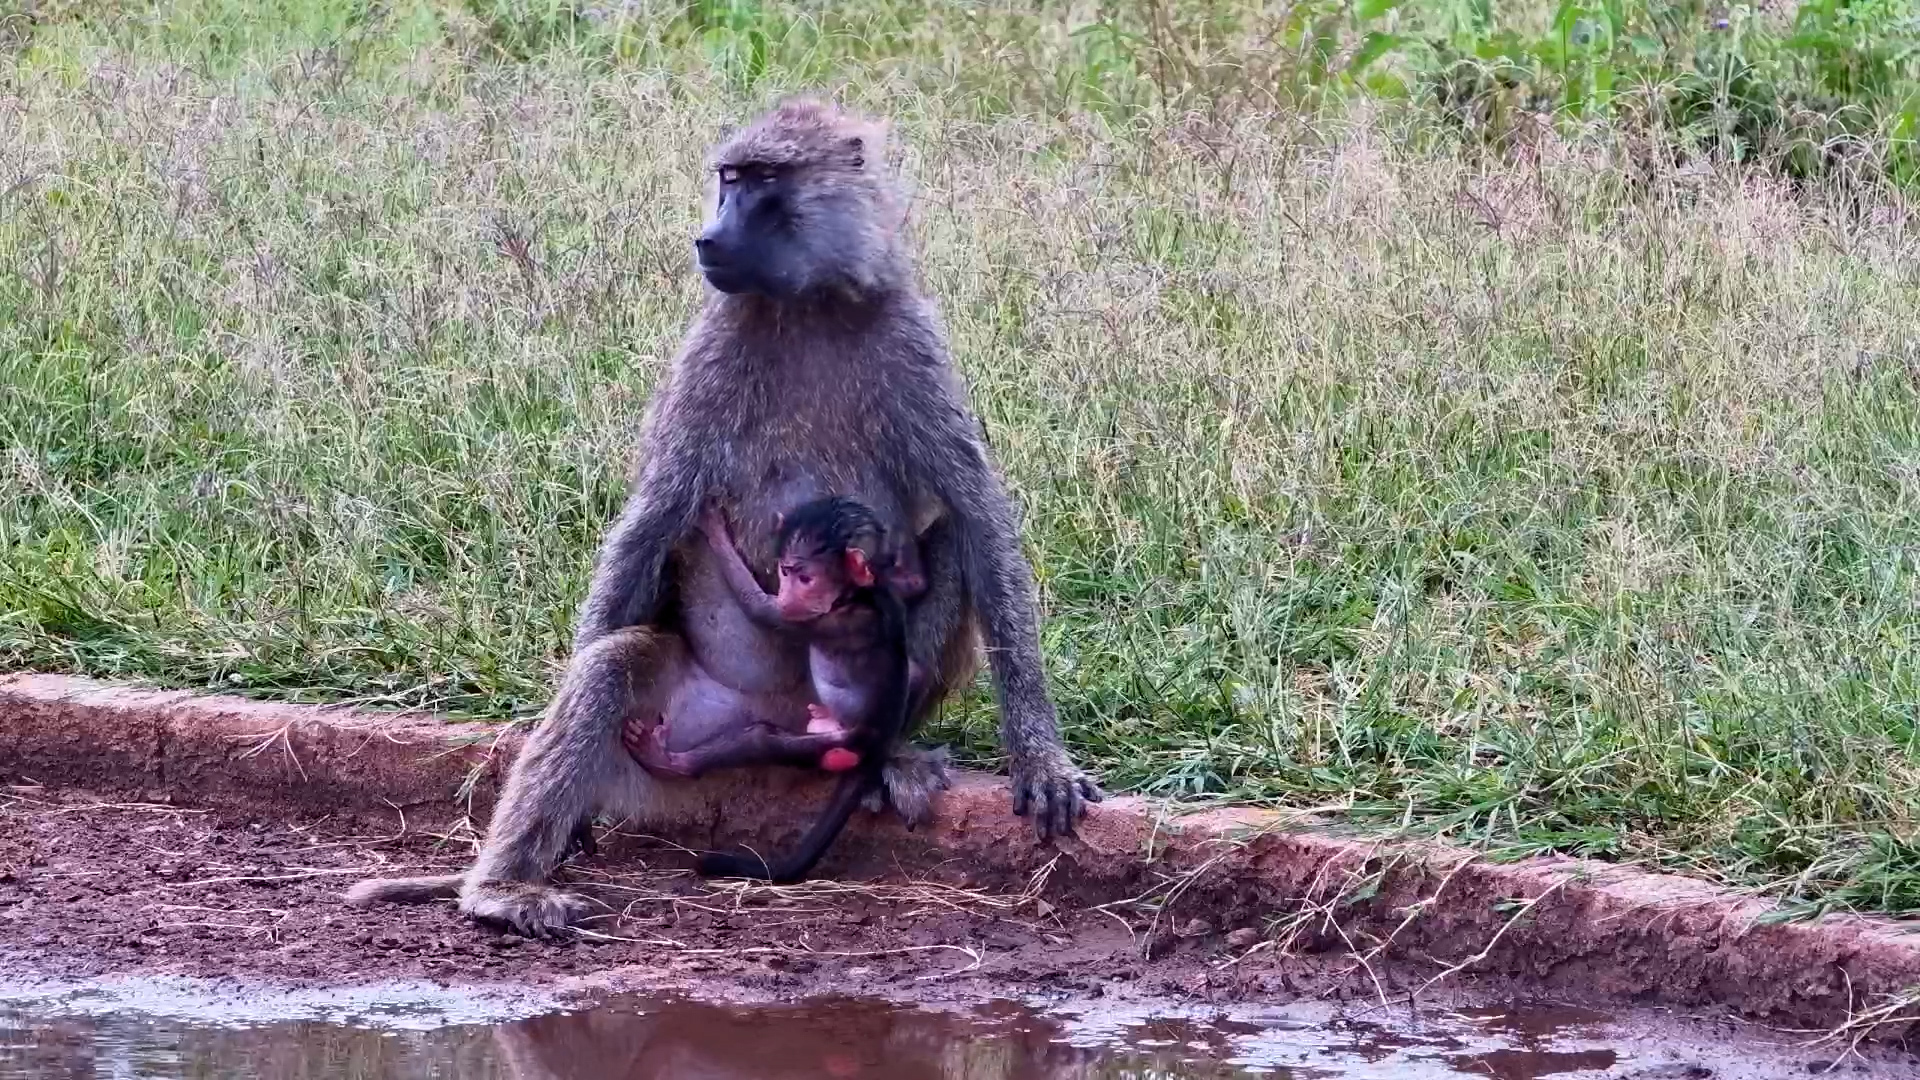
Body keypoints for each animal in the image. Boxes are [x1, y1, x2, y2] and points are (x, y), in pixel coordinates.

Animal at [344, 98, 1101, 938]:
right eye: (728, 179)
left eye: (765, 180)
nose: (708, 237)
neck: (810, 302)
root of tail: (783, 732)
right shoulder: (711, 350)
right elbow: (653, 518)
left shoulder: (911, 339)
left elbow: (976, 513)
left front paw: (1041, 758)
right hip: (674, 722)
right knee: (610, 669)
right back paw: (505, 886)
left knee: (949, 550)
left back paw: (889, 758)